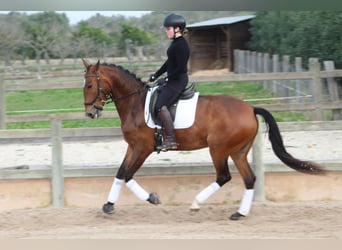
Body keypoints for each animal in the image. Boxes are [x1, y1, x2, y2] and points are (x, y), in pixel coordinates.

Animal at [81, 59, 324, 220]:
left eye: (90, 85)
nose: (90, 113)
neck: (135, 104)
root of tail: (250, 108)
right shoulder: (133, 147)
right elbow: (121, 173)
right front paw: (109, 205)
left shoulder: (143, 148)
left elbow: (128, 174)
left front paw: (151, 198)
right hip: (238, 151)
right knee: (249, 179)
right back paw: (239, 213)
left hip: (218, 149)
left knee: (224, 176)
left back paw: (196, 203)